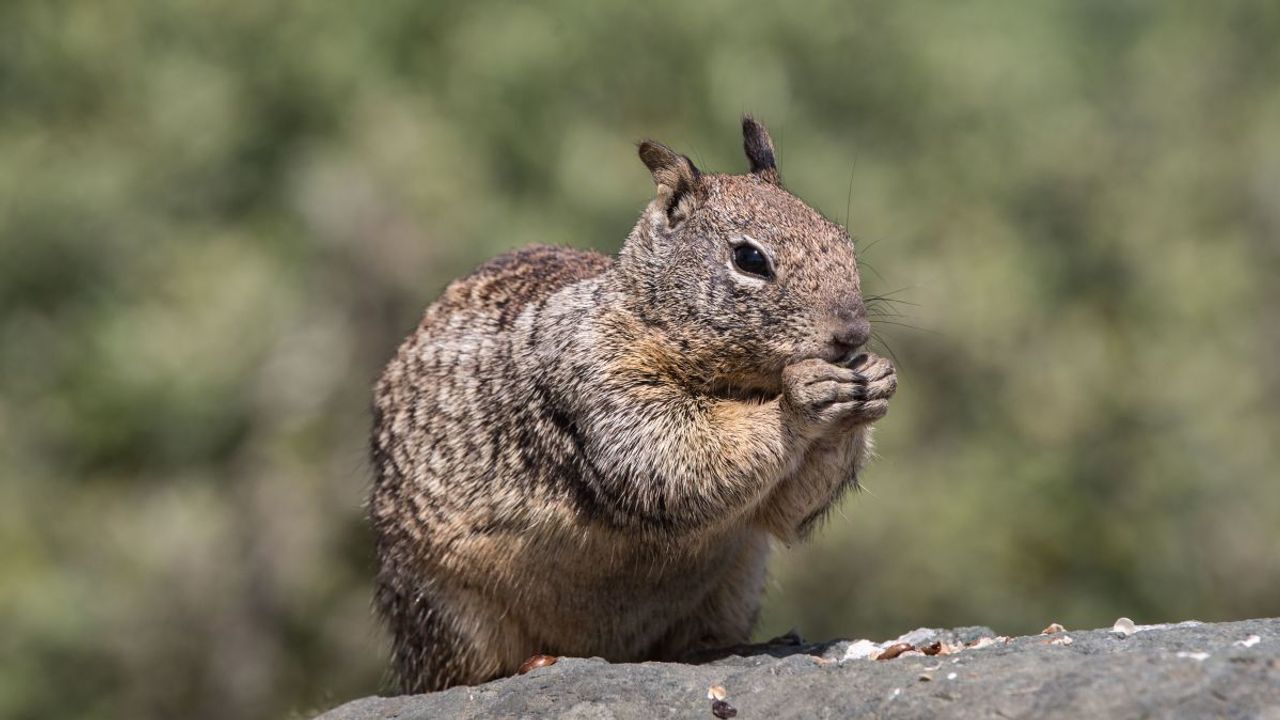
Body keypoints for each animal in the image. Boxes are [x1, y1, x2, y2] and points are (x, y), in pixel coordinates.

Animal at [366, 116, 896, 691]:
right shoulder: (598, 379)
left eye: (843, 239)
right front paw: (802, 397)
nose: (853, 333)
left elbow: (786, 512)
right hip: (449, 611)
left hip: (738, 580)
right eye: (750, 259)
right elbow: (671, 454)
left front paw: (876, 378)